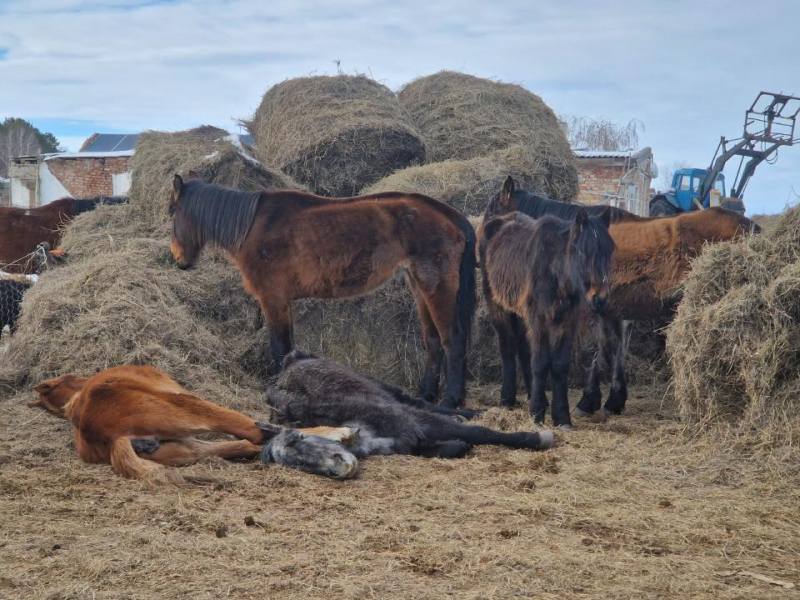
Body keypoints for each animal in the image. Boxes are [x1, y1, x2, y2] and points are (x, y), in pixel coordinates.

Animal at [170, 173, 476, 408]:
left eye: (173, 215)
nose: (179, 260)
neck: (253, 227)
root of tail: (448, 213)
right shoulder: (283, 302)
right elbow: (288, 347)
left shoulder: (273, 299)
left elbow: (279, 348)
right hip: (419, 285)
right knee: (432, 341)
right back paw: (426, 396)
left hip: (436, 285)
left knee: (452, 339)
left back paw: (450, 401)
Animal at [266, 350, 552, 458]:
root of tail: (292, 360)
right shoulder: (411, 434)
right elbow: (439, 446)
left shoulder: (409, 420)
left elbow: (479, 432)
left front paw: (538, 437)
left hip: (385, 389)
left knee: (423, 403)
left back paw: (474, 412)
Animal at [478, 209, 616, 428]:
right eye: (582, 252)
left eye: (608, 252)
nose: (600, 298)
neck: (557, 272)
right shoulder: (540, 320)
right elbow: (541, 362)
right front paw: (537, 414)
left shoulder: (568, 321)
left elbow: (559, 365)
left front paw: (561, 417)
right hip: (498, 306)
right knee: (507, 346)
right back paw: (507, 399)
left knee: (522, 347)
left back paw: (534, 396)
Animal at [484, 176, 760, 414]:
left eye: (492, 207)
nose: (485, 233)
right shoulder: (613, 312)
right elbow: (615, 351)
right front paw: (614, 399)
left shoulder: (594, 311)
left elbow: (599, 352)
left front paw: (589, 400)